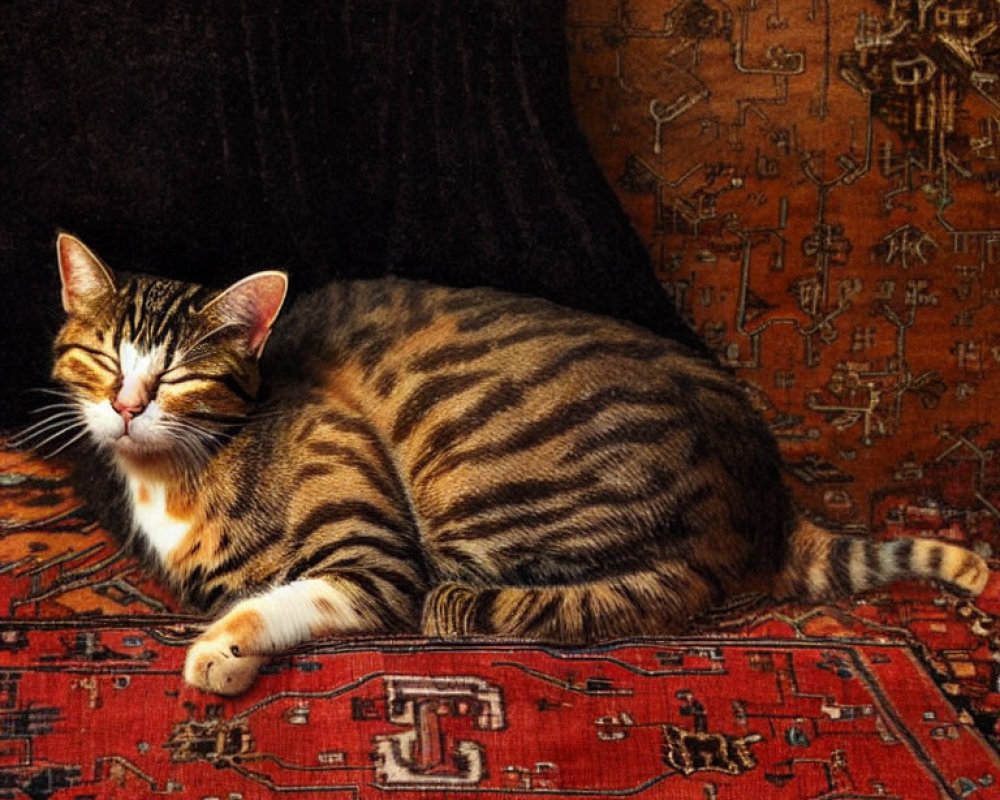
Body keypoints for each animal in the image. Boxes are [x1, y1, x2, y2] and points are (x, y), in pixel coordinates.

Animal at [35, 233, 988, 692]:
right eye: (103, 358)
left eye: (180, 374)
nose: (128, 407)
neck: (172, 476)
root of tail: (770, 501)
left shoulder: (373, 553)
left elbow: (305, 594)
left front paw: (222, 648)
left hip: (475, 476)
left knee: (645, 592)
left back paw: (467, 601)